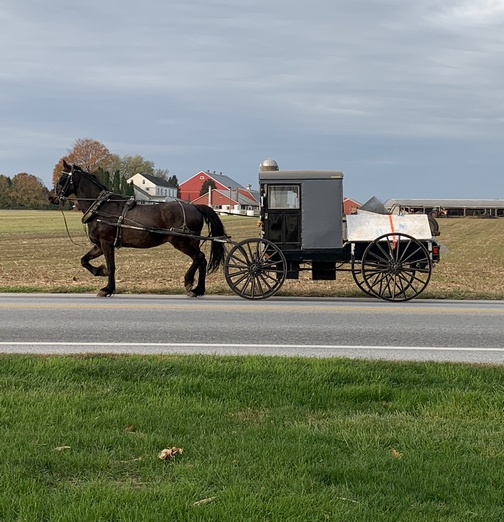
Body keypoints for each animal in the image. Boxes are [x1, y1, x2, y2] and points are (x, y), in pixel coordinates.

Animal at [48, 158, 226, 296]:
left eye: (61, 179)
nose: (51, 197)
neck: (101, 207)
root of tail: (195, 207)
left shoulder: (106, 242)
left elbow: (111, 266)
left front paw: (107, 288)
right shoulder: (99, 245)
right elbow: (84, 260)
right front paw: (100, 271)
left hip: (180, 241)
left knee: (198, 257)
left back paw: (189, 282)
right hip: (192, 241)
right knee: (201, 260)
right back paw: (198, 289)